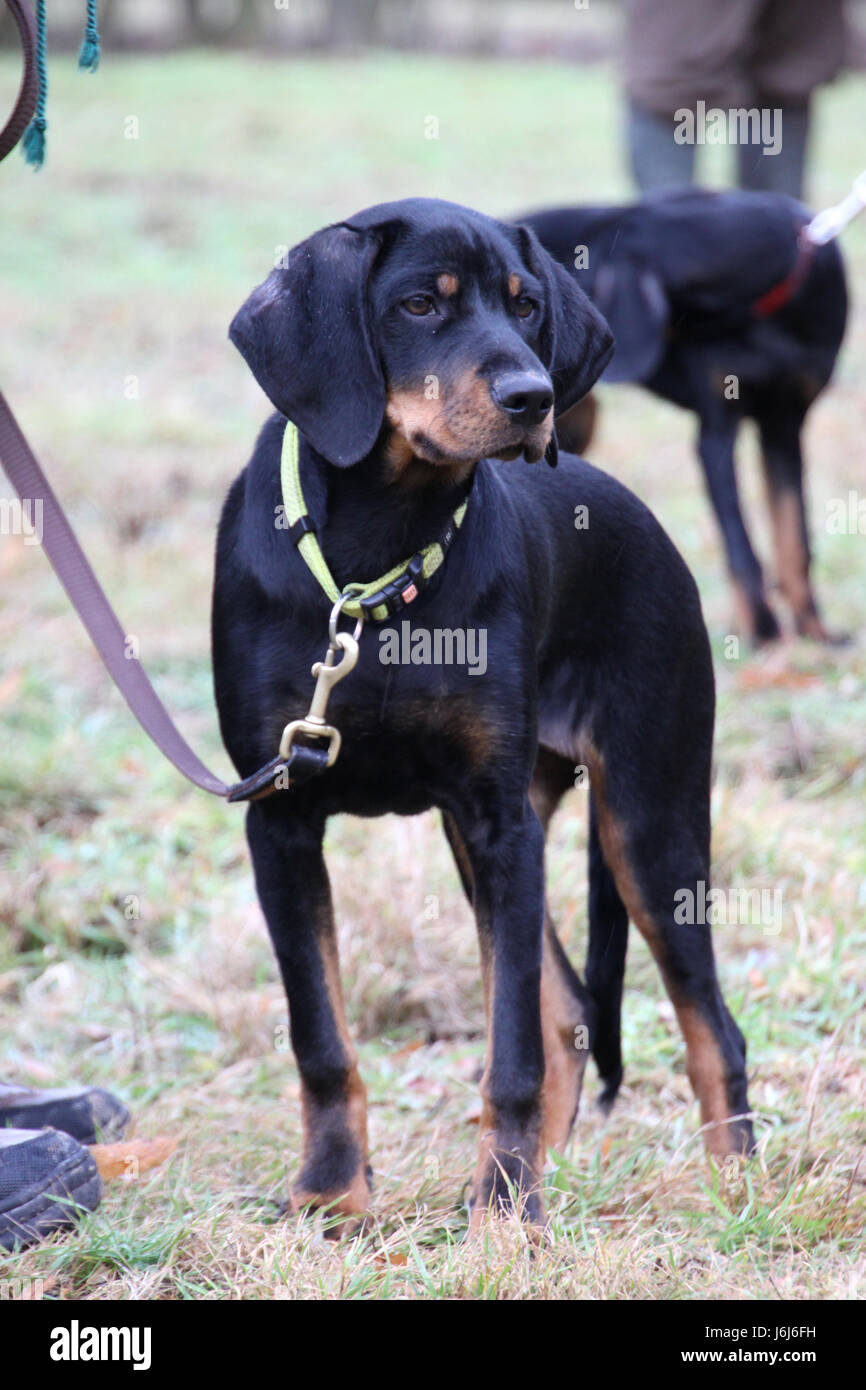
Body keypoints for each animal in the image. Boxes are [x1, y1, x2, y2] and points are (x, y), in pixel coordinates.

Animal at [214, 195, 756, 1228]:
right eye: (421, 304)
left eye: (526, 304)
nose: (533, 399)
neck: (379, 561)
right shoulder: (283, 817)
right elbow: (321, 1037)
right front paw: (332, 1193)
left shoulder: (499, 821)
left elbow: (510, 1051)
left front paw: (507, 1210)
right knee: (572, 1008)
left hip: (646, 814)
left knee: (706, 1022)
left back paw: (730, 1188)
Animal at [522, 189, 845, 644]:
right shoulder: (716, 434)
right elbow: (741, 547)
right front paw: (764, 633)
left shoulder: (785, 426)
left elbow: (794, 538)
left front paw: (814, 632)